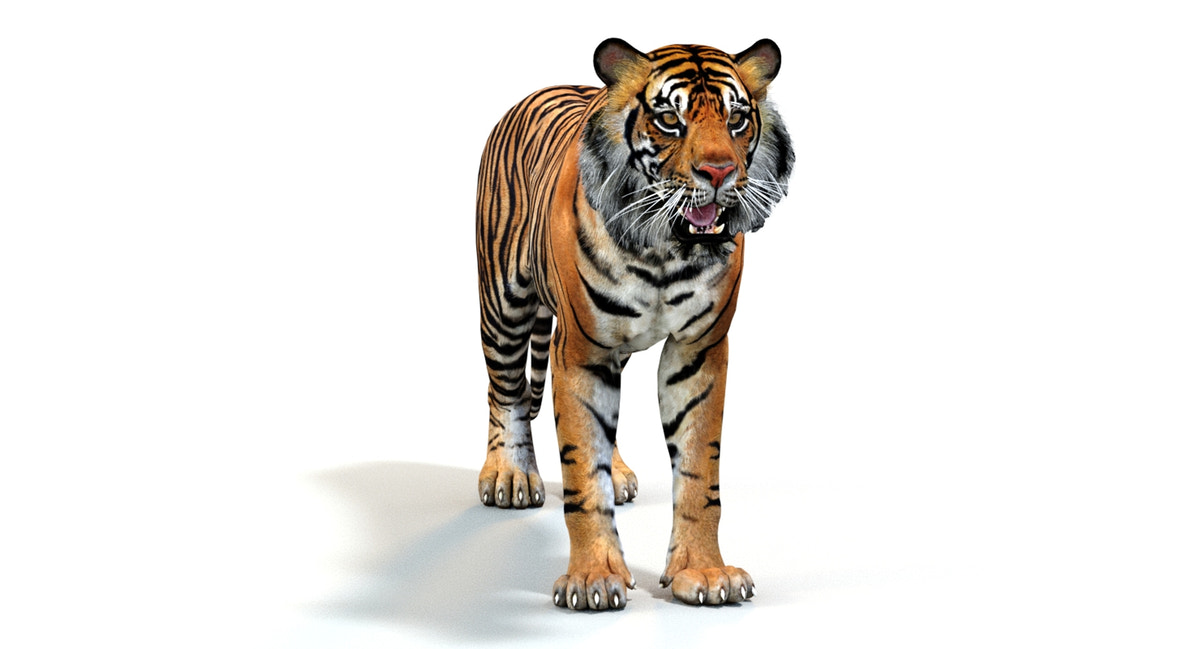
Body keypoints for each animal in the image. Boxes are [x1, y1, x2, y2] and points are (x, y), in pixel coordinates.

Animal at [475, 38, 794, 610]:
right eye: (670, 119)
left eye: (736, 119)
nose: (719, 173)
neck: (666, 249)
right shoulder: (579, 350)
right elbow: (581, 469)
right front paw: (592, 578)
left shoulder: (698, 349)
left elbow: (699, 470)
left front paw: (703, 572)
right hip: (503, 303)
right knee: (505, 391)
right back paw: (510, 475)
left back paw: (618, 472)